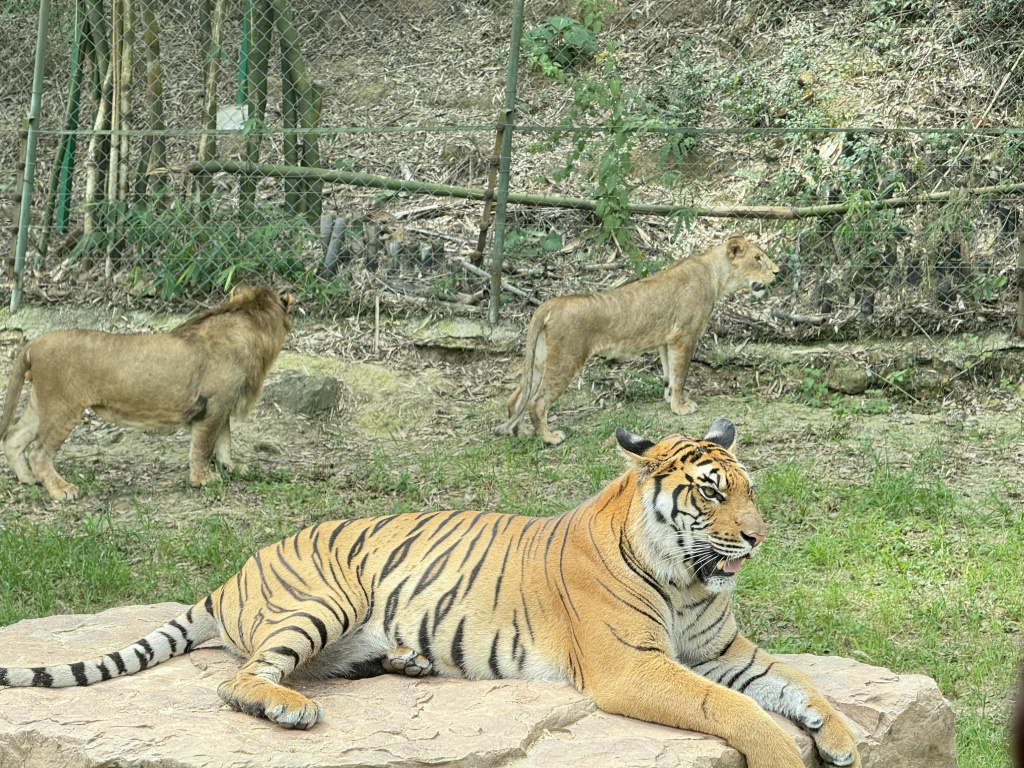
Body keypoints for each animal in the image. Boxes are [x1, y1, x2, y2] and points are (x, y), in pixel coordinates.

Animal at [0, 419, 859, 768]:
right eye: (711, 494)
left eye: (747, 490)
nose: (758, 537)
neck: (686, 580)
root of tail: (232, 571)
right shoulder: (634, 667)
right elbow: (735, 708)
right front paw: (784, 752)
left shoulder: (724, 648)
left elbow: (796, 681)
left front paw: (845, 738)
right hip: (323, 601)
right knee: (244, 678)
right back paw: (288, 709)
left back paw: (406, 665)